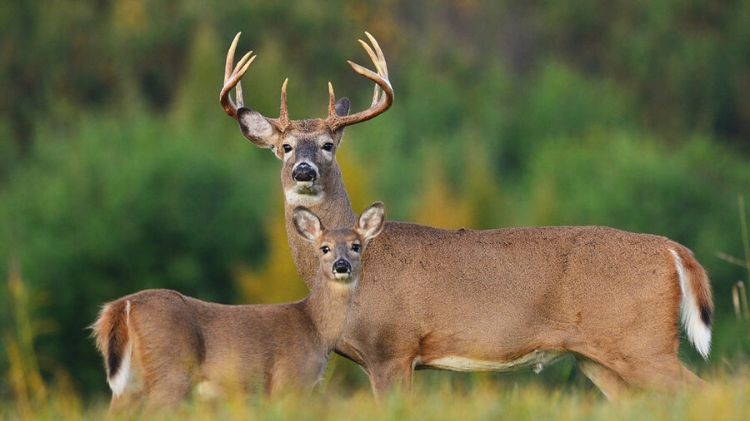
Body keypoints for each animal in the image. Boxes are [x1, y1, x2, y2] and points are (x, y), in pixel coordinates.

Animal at [91, 202, 386, 408]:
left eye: (356, 246)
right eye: (324, 248)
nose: (341, 266)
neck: (315, 328)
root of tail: (122, 306)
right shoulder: (289, 380)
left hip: (132, 381)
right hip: (170, 372)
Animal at [219, 32, 713, 401]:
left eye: (327, 145)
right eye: (285, 147)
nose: (303, 170)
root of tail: (675, 251)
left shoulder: (392, 347)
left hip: (642, 343)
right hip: (600, 357)